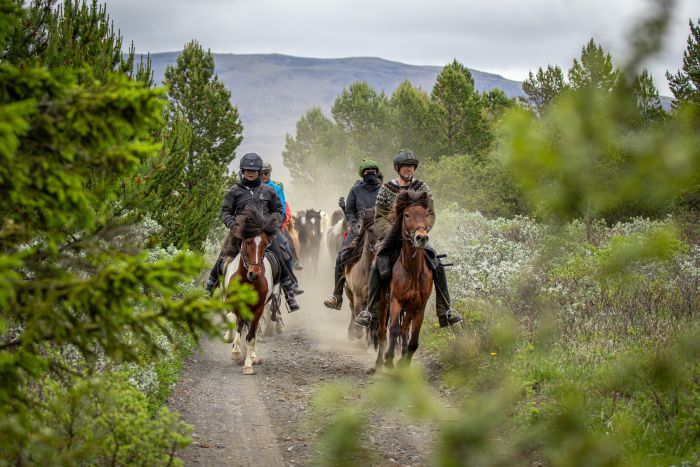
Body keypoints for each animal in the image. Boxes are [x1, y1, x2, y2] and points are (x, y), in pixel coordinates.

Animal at [223, 207, 280, 374]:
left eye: (265, 244)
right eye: (248, 242)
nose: (254, 274)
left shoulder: (258, 308)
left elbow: (250, 336)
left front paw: (248, 365)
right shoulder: (231, 301)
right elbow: (232, 320)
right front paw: (230, 341)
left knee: (252, 330)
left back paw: (252, 356)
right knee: (240, 323)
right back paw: (236, 350)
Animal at [344, 210, 378, 342]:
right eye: (371, 230)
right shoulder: (358, 297)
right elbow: (357, 314)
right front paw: (358, 332)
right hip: (349, 292)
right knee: (352, 309)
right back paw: (351, 332)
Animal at [374, 190, 434, 372]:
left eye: (425, 214)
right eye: (406, 215)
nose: (421, 238)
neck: (412, 270)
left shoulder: (419, 306)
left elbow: (413, 338)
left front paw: (404, 363)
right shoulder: (396, 301)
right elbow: (393, 329)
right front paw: (389, 359)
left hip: (410, 308)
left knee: (405, 329)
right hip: (383, 302)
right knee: (382, 332)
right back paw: (378, 363)